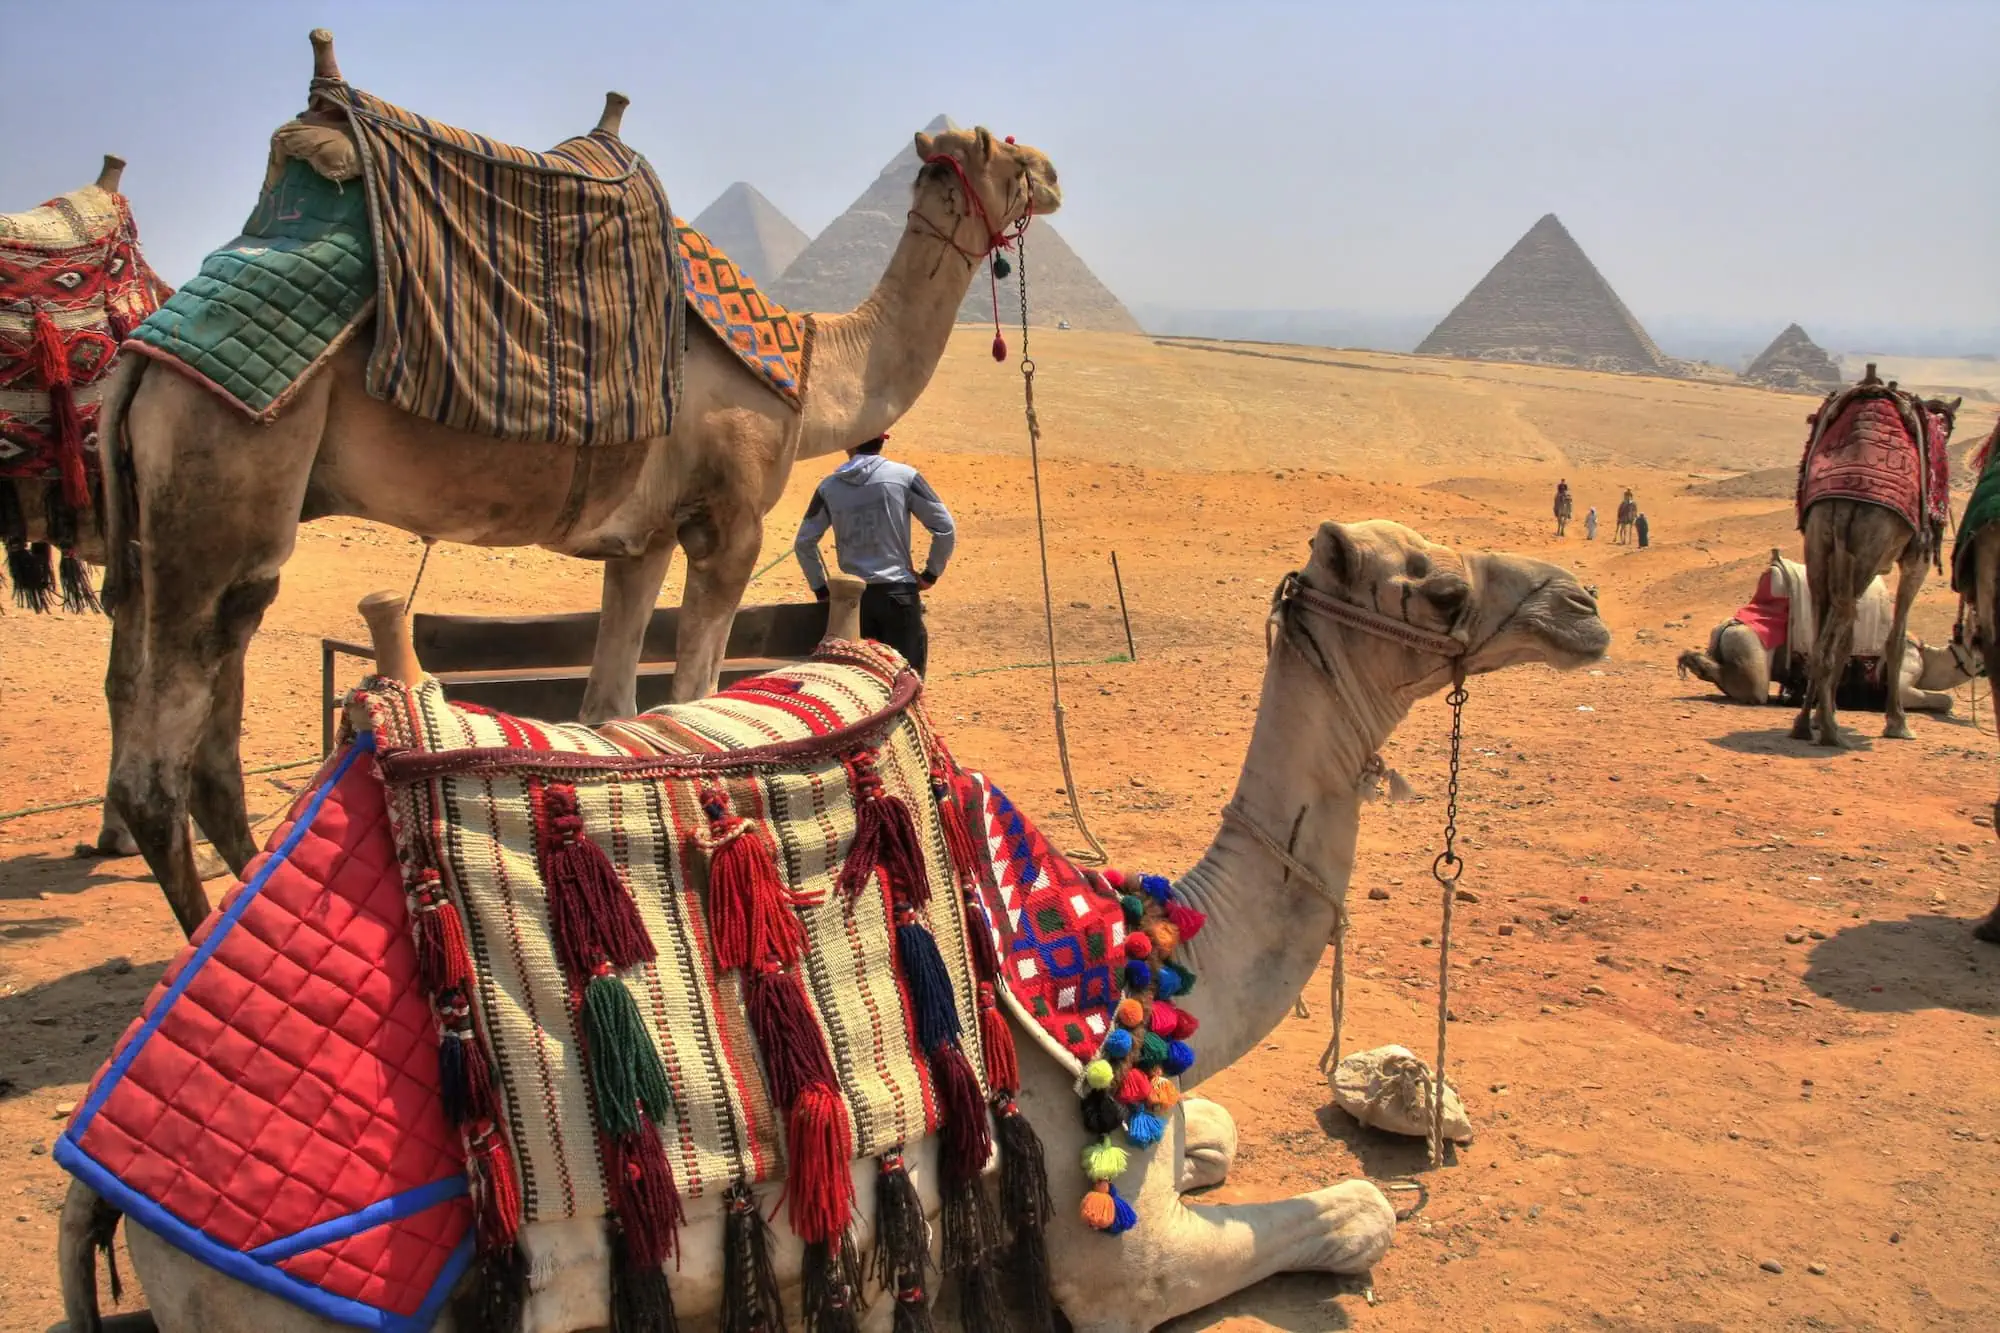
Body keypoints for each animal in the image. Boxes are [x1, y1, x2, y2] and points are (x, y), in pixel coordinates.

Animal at [59, 518, 1610, 1332]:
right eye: (1435, 586)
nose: (1582, 604)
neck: (1122, 948)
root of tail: (93, 1167)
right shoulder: (1113, 1254)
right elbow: (1349, 1212)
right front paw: (1359, 1199)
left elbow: (1218, 1128)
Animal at [94, 29, 1062, 938]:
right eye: (1004, 151)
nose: (1054, 172)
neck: (810, 369)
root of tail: (139, 362)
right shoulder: (730, 522)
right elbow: (695, 699)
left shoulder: (645, 538)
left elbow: (611, 708)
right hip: (218, 469)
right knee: (156, 772)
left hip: (186, 526)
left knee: (206, 726)